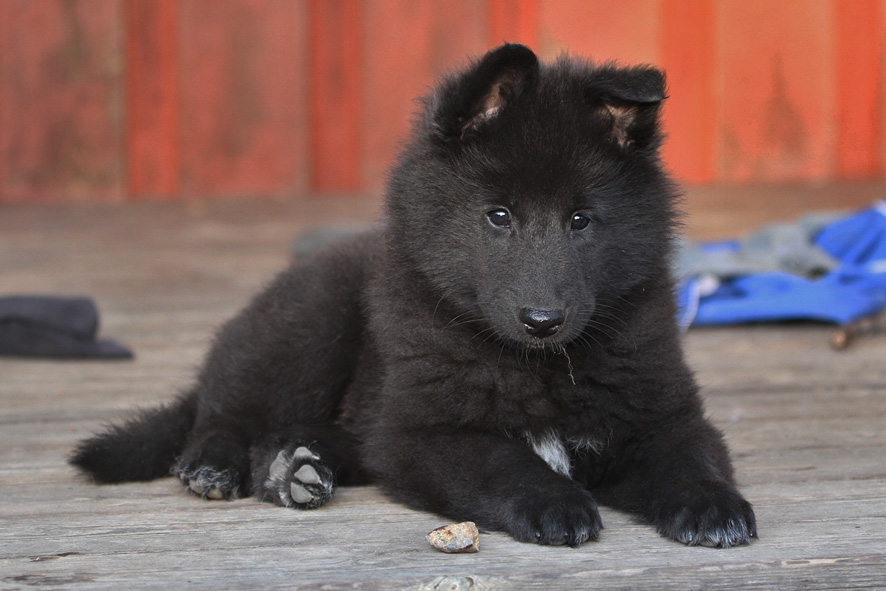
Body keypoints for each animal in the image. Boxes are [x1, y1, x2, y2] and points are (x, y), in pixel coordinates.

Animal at [73, 44, 760, 548]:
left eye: (581, 220)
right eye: (498, 216)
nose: (542, 320)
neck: (537, 368)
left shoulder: (661, 413)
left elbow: (689, 455)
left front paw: (712, 504)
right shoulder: (420, 433)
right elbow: (502, 460)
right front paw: (556, 502)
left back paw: (297, 469)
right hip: (309, 325)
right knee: (225, 408)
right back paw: (218, 464)